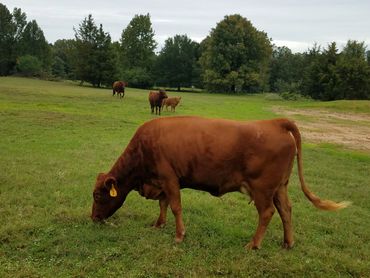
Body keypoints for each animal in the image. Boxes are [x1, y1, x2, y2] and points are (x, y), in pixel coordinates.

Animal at [91, 116, 348, 250]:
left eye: (97, 195)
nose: (93, 218)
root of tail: (274, 122)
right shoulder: (162, 182)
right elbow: (163, 204)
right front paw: (158, 224)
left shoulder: (169, 178)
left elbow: (175, 207)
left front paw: (179, 235)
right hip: (279, 187)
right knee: (286, 210)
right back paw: (288, 243)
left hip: (263, 189)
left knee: (267, 213)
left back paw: (253, 244)